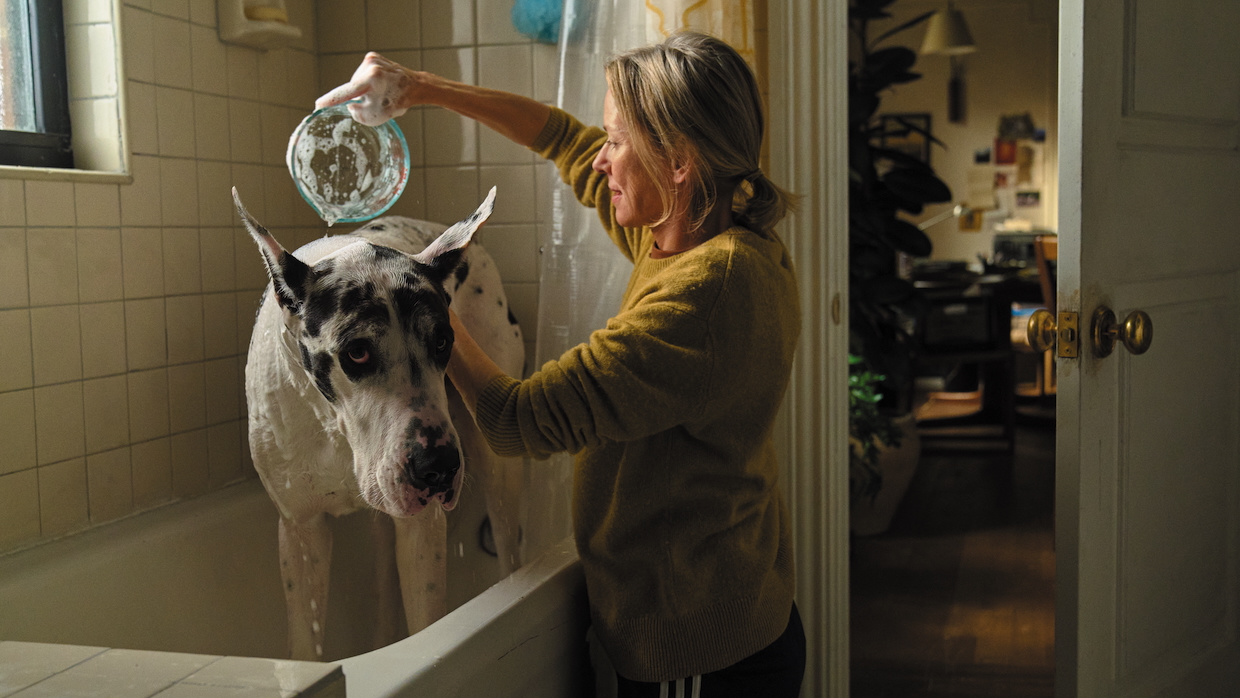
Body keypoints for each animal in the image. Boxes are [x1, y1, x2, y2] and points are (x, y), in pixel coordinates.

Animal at [236, 187, 523, 659]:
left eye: (442, 340)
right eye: (357, 352)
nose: (438, 467)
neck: (334, 428)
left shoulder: (423, 531)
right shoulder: (300, 531)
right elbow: (305, 640)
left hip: (495, 463)